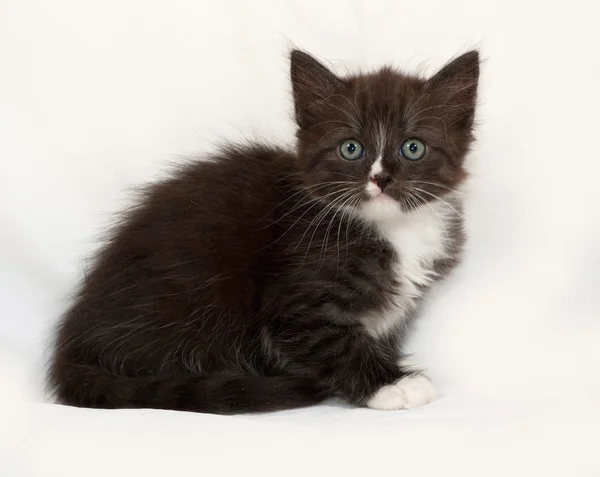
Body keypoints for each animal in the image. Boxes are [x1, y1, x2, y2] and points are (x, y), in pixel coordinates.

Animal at [49, 49, 480, 412]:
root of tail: (72, 346)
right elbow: (332, 342)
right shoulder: (292, 300)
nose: (382, 179)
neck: (392, 229)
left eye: (413, 148)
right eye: (351, 148)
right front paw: (392, 384)